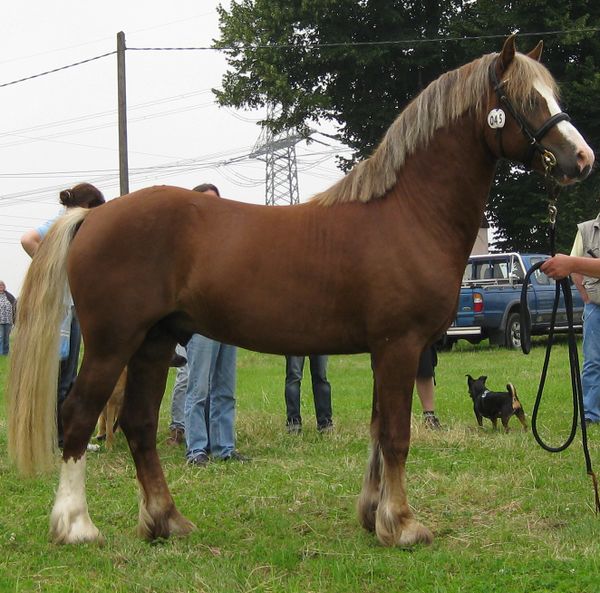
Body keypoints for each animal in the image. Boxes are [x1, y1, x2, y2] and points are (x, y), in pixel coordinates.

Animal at [7, 35, 592, 544]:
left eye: (554, 95)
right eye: (524, 99)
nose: (582, 159)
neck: (408, 214)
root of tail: (95, 214)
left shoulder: (383, 350)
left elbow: (378, 432)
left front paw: (373, 516)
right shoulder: (400, 345)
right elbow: (397, 436)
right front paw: (403, 525)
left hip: (154, 343)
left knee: (139, 424)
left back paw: (165, 521)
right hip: (113, 344)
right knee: (77, 416)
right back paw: (76, 526)